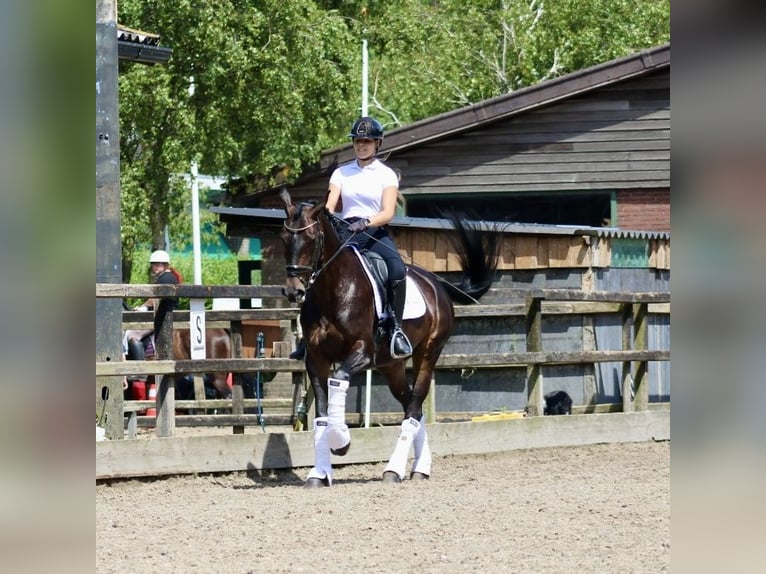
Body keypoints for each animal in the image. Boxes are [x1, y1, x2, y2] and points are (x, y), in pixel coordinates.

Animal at [280, 189, 500, 486]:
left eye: (313, 238)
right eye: (284, 237)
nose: (294, 291)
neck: (333, 289)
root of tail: (436, 285)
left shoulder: (363, 351)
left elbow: (339, 380)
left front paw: (342, 441)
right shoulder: (316, 359)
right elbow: (322, 416)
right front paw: (319, 473)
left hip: (428, 353)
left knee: (414, 405)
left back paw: (394, 470)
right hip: (391, 365)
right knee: (412, 406)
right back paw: (421, 467)